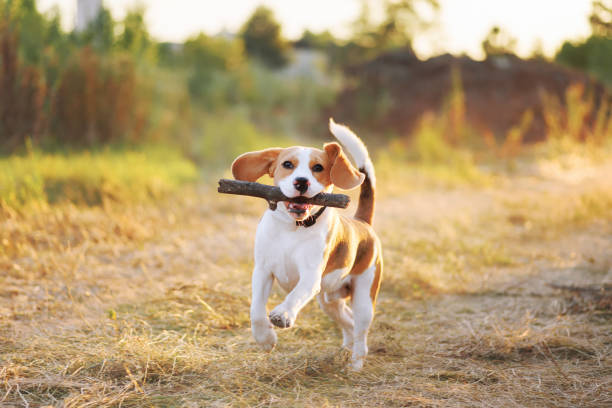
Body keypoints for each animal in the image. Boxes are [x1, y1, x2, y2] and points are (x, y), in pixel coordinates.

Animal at [232, 118, 380, 370]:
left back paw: (355, 364)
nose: (301, 182)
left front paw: (283, 314)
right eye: (287, 164)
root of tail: (362, 222)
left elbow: (295, 295)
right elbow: (256, 311)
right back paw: (345, 350)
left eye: (318, 168)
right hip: (329, 302)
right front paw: (265, 339)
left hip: (364, 296)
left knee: (361, 331)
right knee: (348, 322)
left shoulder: (310, 278)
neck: (293, 228)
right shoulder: (262, 271)